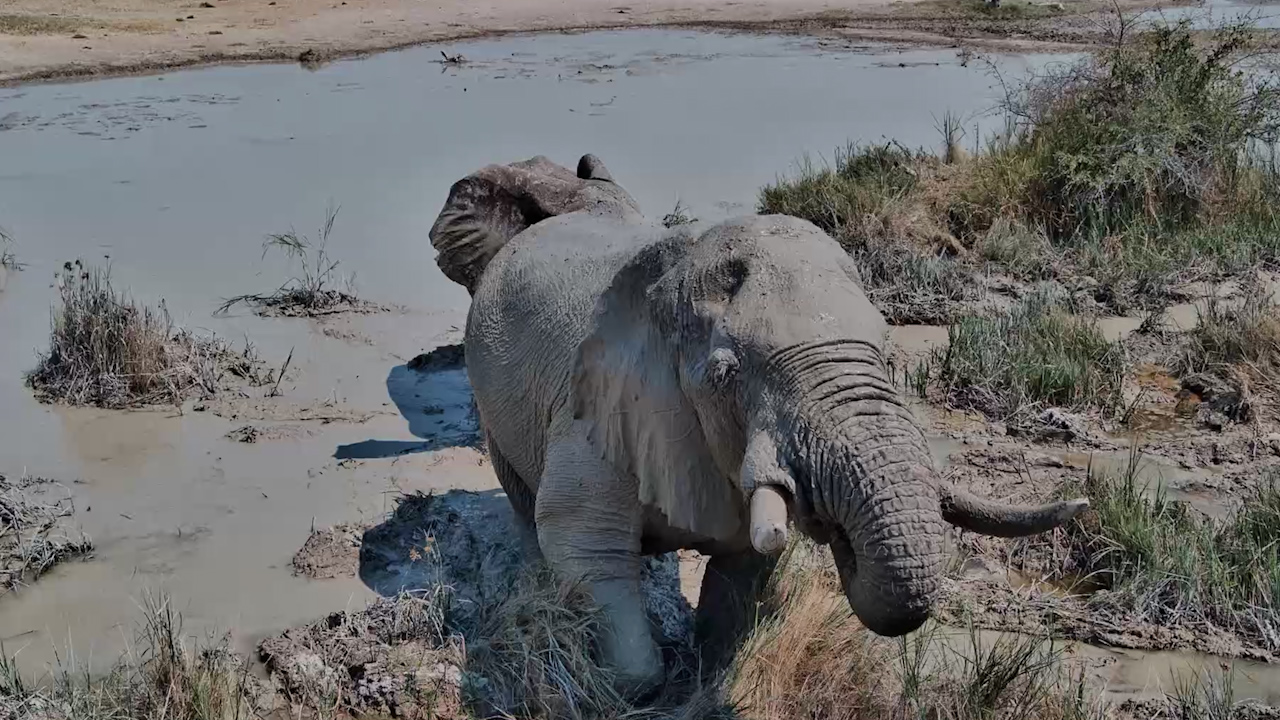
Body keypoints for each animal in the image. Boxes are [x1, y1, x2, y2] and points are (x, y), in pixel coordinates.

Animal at [427, 153, 1088, 695]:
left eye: (887, 353)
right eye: (726, 374)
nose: (838, 534)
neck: (672, 278)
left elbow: (742, 570)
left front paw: (709, 671)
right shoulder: (591, 410)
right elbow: (582, 541)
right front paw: (642, 686)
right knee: (524, 499)